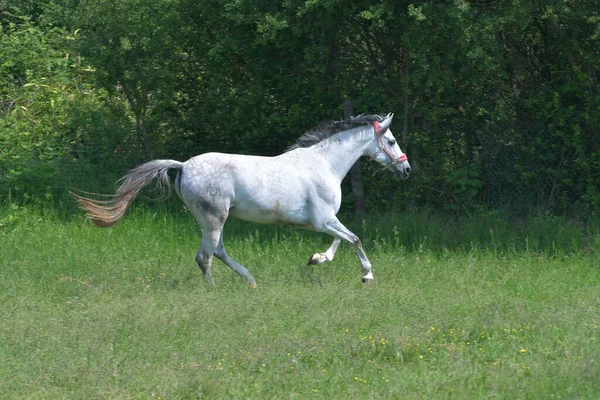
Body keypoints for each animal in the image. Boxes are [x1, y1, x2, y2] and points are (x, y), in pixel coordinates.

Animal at [69, 113, 408, 288]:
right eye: (391, 141)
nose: (406, 169)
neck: (324, 164)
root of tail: (183, 165)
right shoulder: (323, 220)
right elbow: (355, 239)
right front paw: (367, 275)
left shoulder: (323, 222)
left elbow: (341, 241)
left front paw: (316, 259)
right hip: (214, 218)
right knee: (205, 256)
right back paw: (214, 290)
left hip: (213, 220)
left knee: (217, 252)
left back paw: (251, 281)